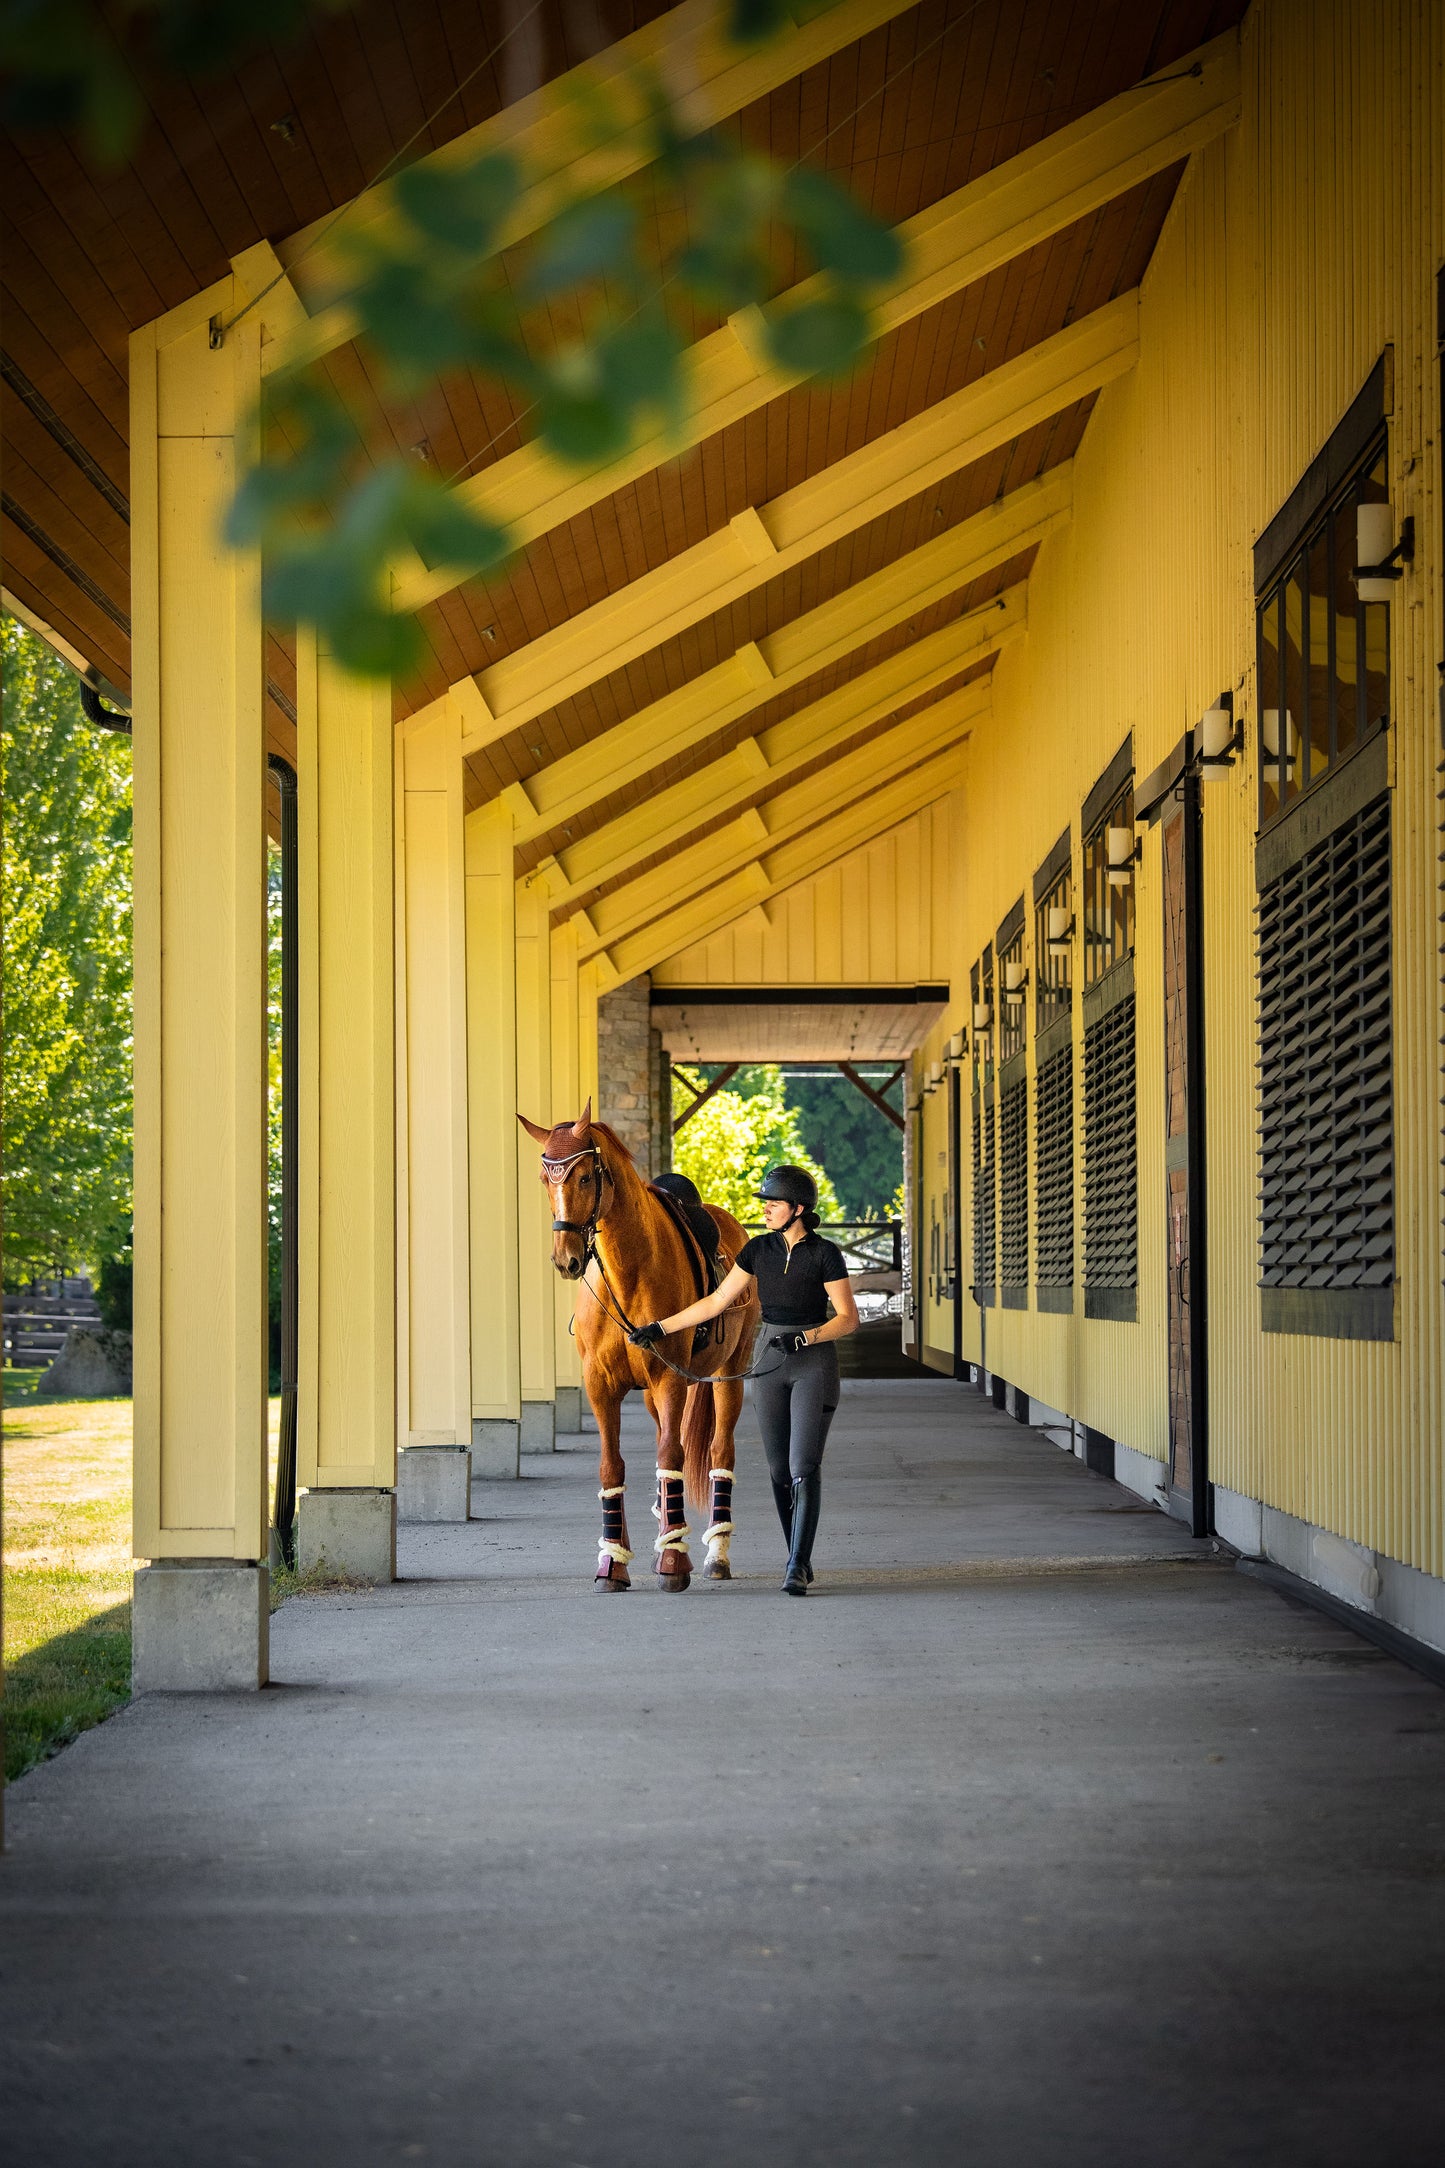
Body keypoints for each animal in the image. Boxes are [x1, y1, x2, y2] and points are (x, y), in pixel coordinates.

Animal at [518, 1101, 761, 1592]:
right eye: (544, 1179)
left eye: (585, 1177)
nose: (566, 1260)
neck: (629, 1271)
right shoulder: (601, 1385)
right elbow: (612, 1466)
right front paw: (613, 1560)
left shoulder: (669, 1376)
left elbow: (672, 1454)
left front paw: (674, 1561)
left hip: (728, 1376)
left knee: (719, 1453)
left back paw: (715, 1553)